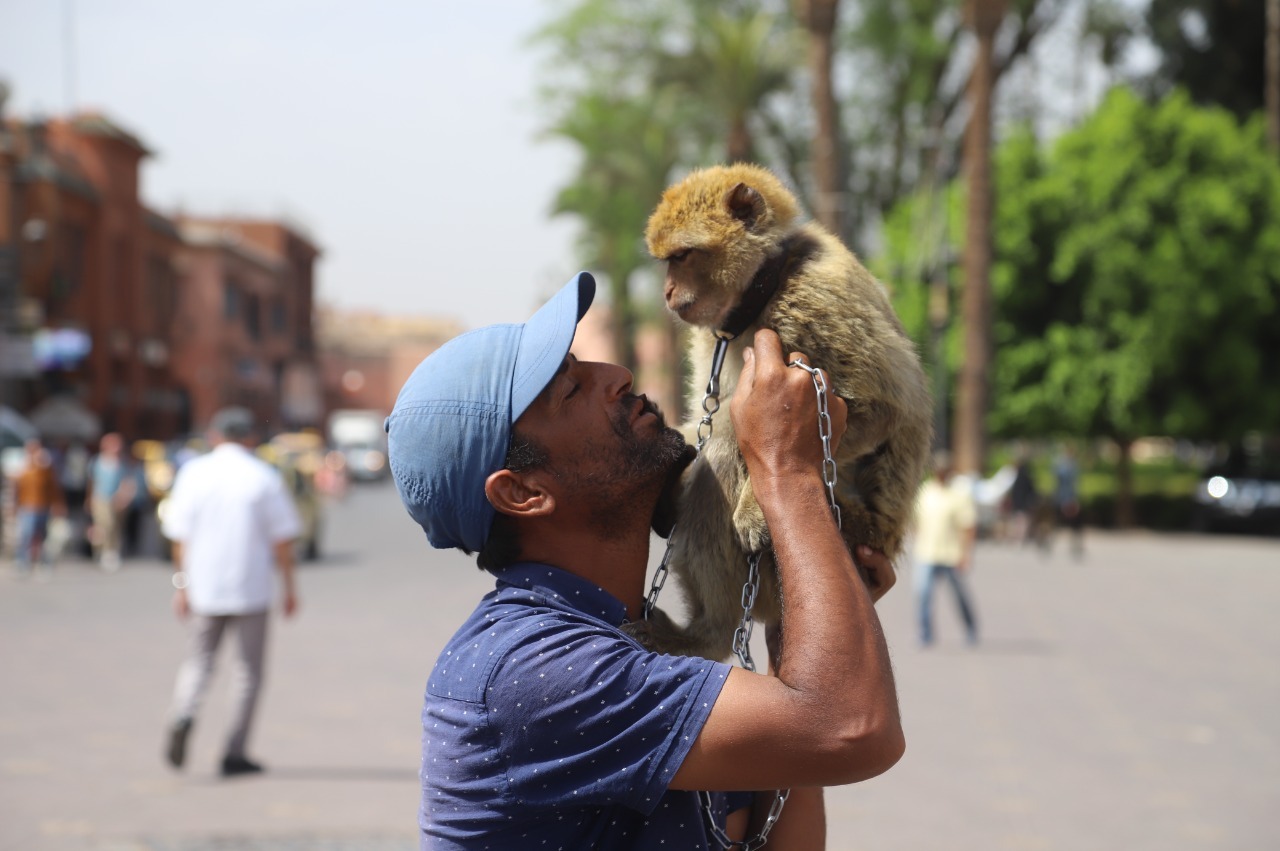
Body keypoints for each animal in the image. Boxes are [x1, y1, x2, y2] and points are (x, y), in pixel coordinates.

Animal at [627, 162, 931, 660]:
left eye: (684, 256)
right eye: (669, 260)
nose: (668, 292)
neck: (765, 287)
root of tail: (888, 536)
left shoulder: (812, 306)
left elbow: (883, 409)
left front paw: (755, 509)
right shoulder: (714, 333)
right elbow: (707, 418)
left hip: (846, 536)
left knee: (723, 447)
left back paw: (707, 634)